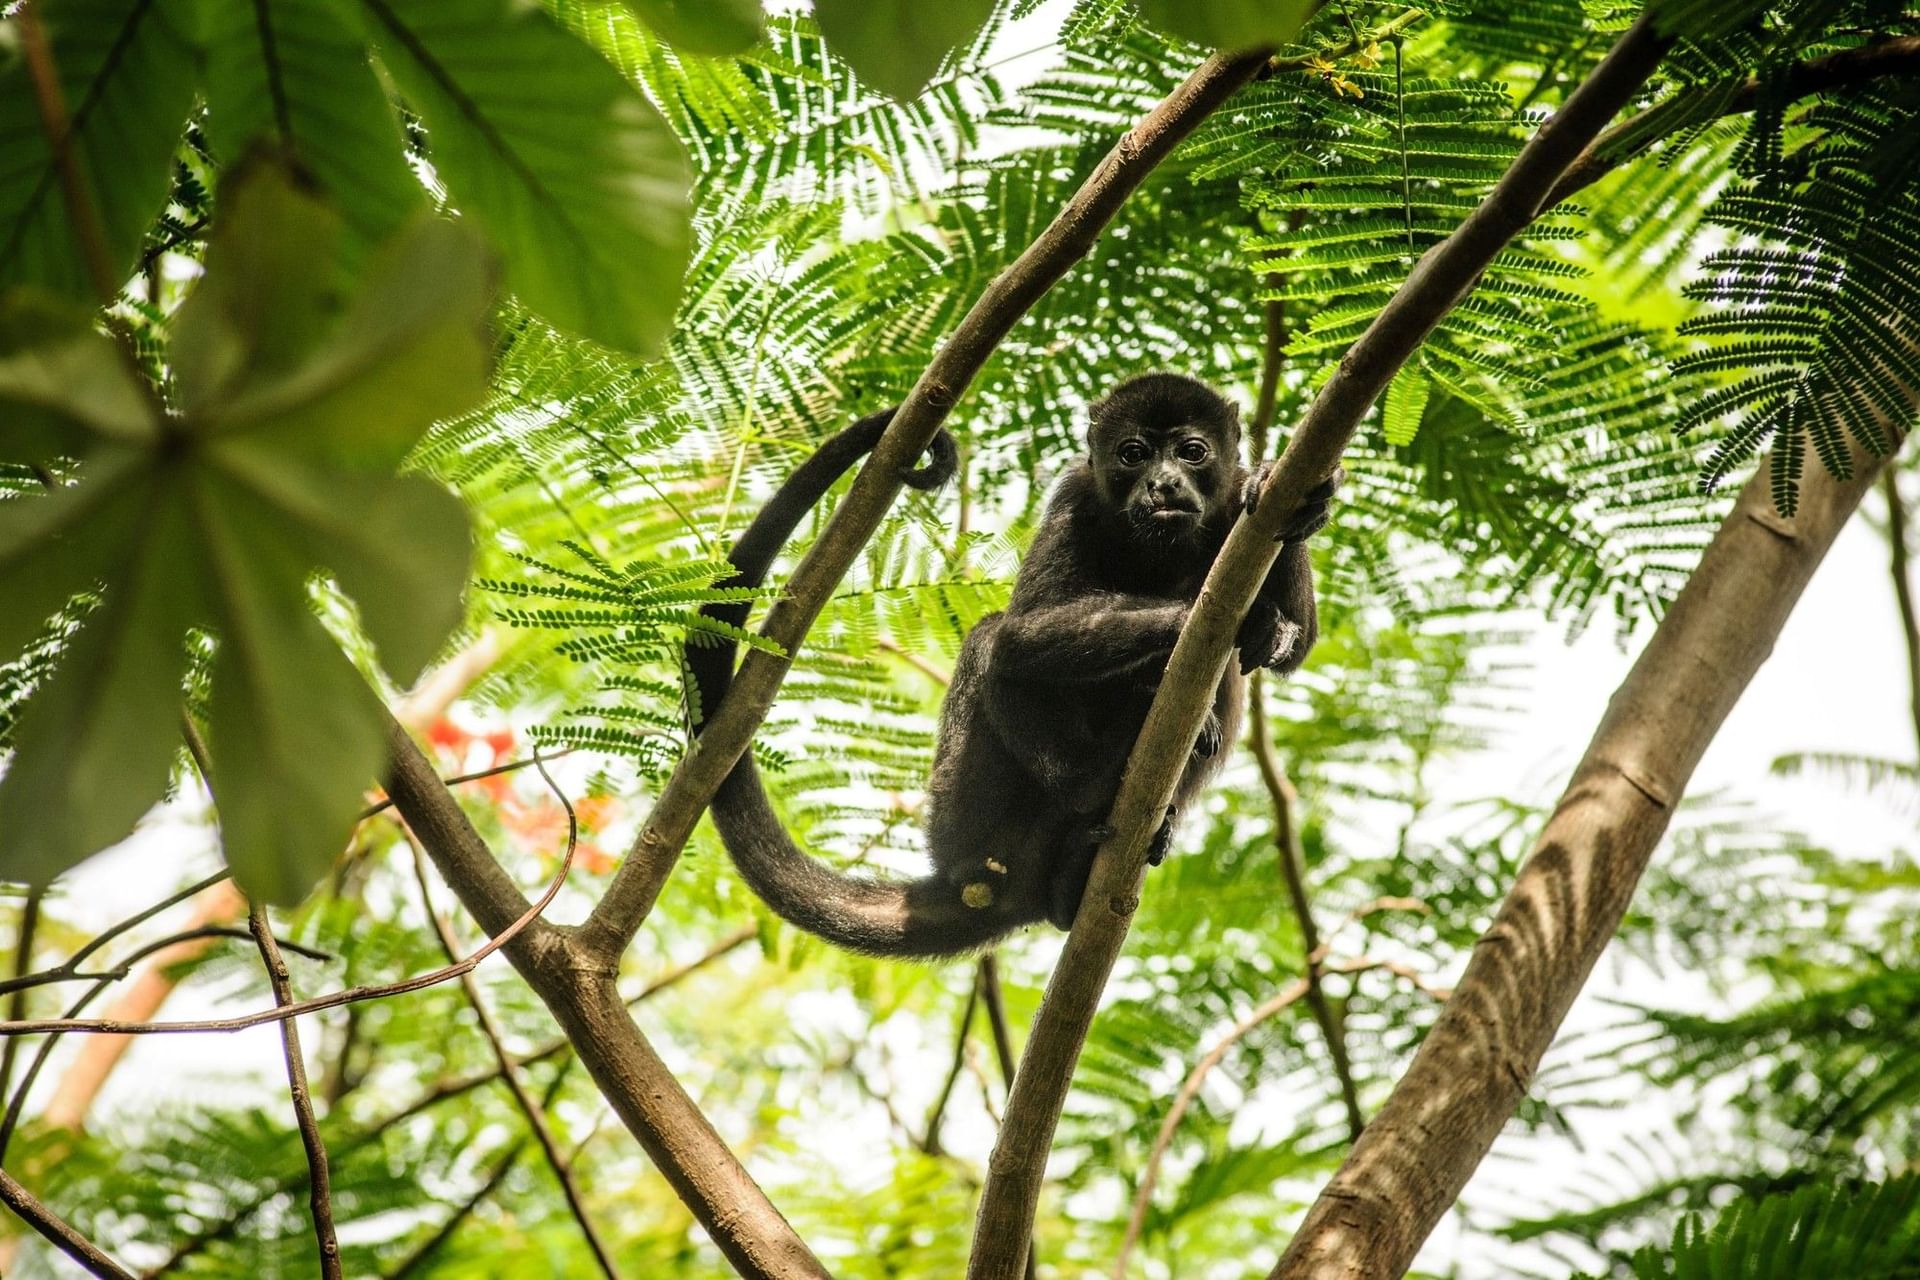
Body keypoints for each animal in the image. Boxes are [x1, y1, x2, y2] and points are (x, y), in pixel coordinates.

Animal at [685, 374, 1339, 958]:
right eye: (1133, 455)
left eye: (1192, 452)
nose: (1163, 483)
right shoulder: (1076, 496)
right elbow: (1023, 633)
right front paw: (1206, 619)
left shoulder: (1231, 507)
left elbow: (1298, 642)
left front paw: (1295, 500)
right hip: (966, 819)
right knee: (993, 642)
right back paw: (1095, 784)